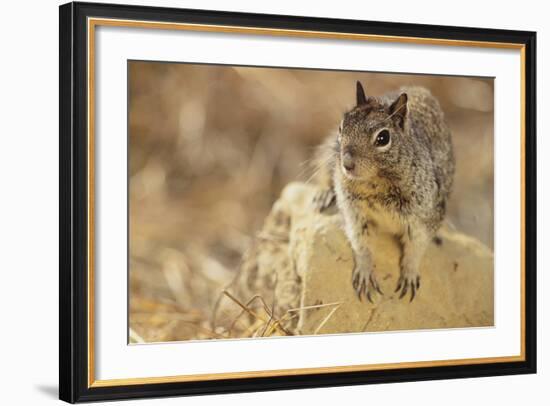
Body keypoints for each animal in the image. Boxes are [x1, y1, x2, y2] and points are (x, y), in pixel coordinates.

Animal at [314, 81, 458, 302]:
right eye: (341, 127)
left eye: (383, 138)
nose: (346, 164)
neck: (376, 183)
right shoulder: (354, 214)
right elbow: (361, 244)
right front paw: (365, 273)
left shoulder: (423, 217)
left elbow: (415, 248)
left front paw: (409, 274)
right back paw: (324, 194)